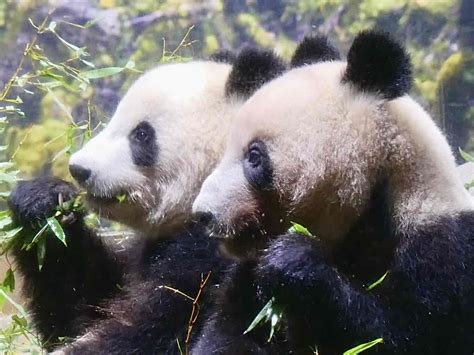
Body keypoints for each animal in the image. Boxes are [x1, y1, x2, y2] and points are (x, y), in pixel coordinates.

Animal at [8, 47, 286, 354]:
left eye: (141, 134)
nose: (79, 169)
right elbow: (86, 303)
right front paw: (44, 202)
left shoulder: (217, 251)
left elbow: (154, 328)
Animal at [193, 32, 474, 354]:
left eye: (254, 156)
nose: (203, 213)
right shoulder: (247, 275)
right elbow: (227, 333)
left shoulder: (443, 249)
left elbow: (405, 334)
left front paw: (293, 261)